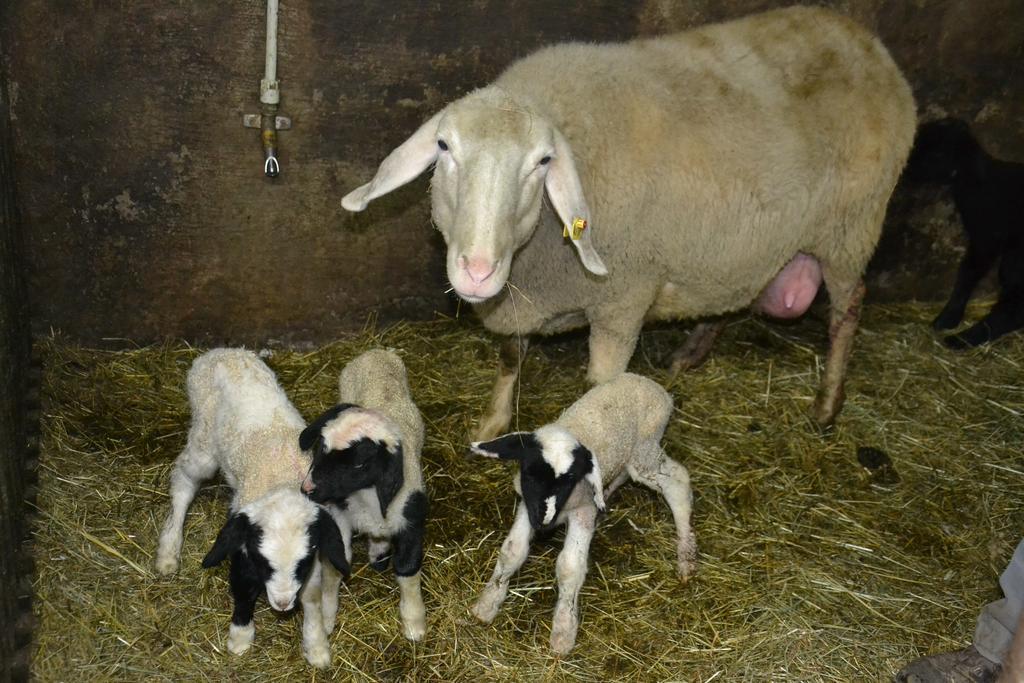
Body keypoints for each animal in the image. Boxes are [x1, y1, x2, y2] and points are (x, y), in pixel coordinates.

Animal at [153, 350, 350, 671]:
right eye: (263, 562)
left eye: (301, 563)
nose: (282, 604)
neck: (283, 483)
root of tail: (218, 352)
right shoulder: (243, 542)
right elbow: (243, 585)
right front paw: (240, 638)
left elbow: (311, 596)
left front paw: (316, 644)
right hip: (204, 441)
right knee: (183, 479)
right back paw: (169, 551)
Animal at [339, 5, 917, 438]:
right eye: (443, 146)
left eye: (542, 162)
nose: (477, 272)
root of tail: (868, 43)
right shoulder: (521, 301)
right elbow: (509, 358)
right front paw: (492, 422)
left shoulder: (623, 299)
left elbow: (601, 386)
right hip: (746, 241)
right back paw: (691, 353)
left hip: (850, 229)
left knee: (848, 308)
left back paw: (826, 405)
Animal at [468, 370, 696, 655]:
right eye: (530, 473)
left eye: (569, 480)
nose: (543, 522)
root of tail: (652, 384)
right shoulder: (527, 506)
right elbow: (512, 551)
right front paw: (487, 604)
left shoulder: (583, 512)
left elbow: (569, 567)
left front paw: (563, 631)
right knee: (625, 473)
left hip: (645, 451)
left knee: (677, 481)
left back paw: (686, 555)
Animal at [905, 116, 1024, 348]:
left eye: (934, 152)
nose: (904, 168)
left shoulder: (986, 236)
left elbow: (967, 272)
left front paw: (947, 318)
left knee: (1015, 306)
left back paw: (962, 339)